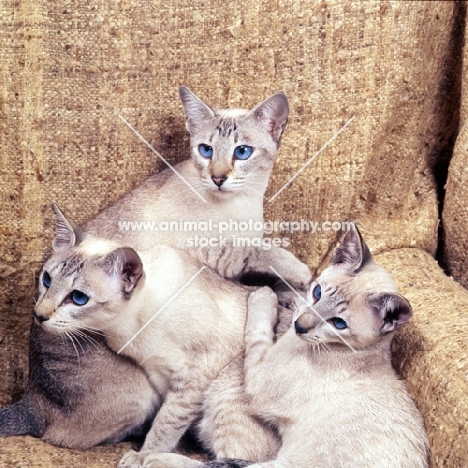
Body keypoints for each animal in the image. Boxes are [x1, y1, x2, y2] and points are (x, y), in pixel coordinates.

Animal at [1, 88, 312, 450]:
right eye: (205, 150)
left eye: (242, 152)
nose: (218, 178)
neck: (240, 205)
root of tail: (30, 398)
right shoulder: (210, 256)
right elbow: (258, 252)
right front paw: (299, 272)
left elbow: (268, 278)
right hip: (140, 392)